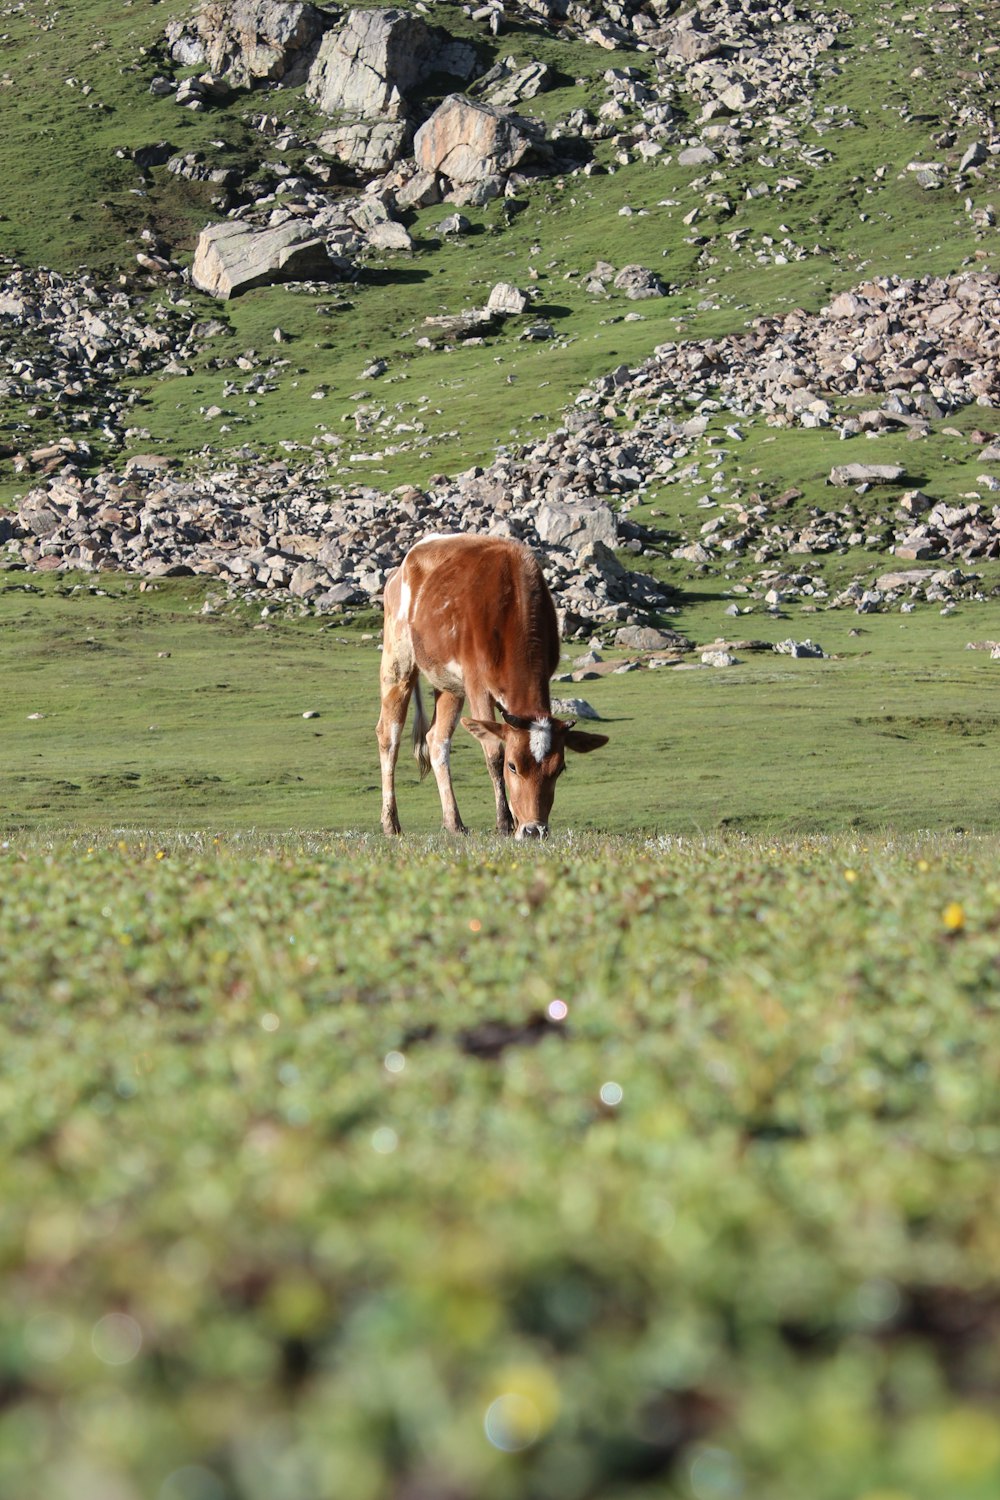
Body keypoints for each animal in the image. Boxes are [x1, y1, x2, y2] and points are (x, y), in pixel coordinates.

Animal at [377, 537, 605, 846]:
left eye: (559, 769)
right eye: (513, 766)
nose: (535, 830)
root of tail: (401, 567)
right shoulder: (478, 686)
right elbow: (493, 751)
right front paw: (505, 823)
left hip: (448, 684)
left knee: (437, 740)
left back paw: (454, 822)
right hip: (398, 660)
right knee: (389, 736)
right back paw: (391, 823)